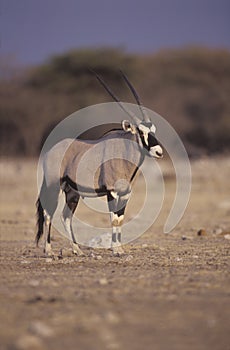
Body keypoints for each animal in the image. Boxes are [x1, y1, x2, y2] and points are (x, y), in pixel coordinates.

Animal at [36, 72, 163, 258]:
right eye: (141, 131)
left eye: (153, 130)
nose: (159, 152)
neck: (124, 153)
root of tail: (50, 151)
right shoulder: (112, 193)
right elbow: (113, 219)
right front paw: (115, 249)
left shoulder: (125, 195)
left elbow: (120, 219)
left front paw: (120, 248)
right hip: (54, 186)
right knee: (47, 214)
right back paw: (48, 250)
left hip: (72, 192)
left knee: (65, 216)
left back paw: (77, 250)